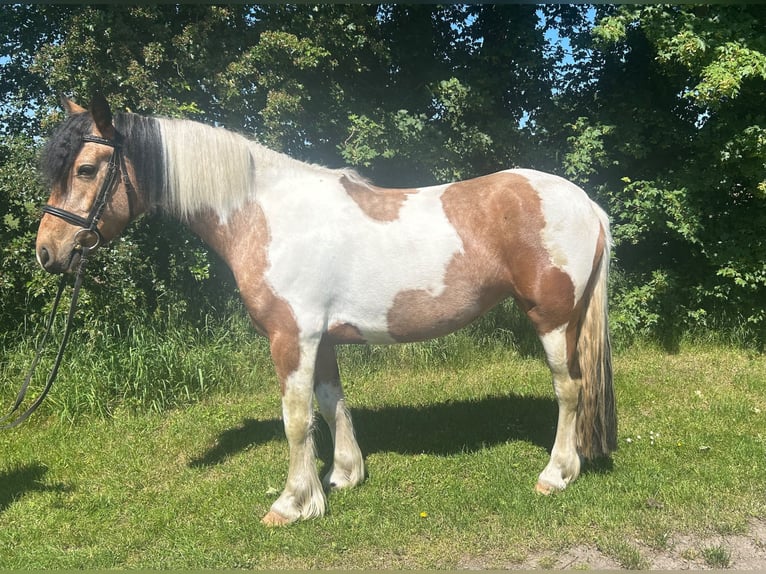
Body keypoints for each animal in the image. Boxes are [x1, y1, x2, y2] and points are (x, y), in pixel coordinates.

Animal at [35, 95, 616, 526]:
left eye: (85, 169)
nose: (47, 251)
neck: (267, 215)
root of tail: (586, 203)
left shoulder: (292, 337)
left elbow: (296, 419)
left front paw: (293, 504)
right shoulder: (324, 339)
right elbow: (333, 403)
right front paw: (343, 476)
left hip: (552, 319)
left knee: (570, 389)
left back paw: (556, 474)